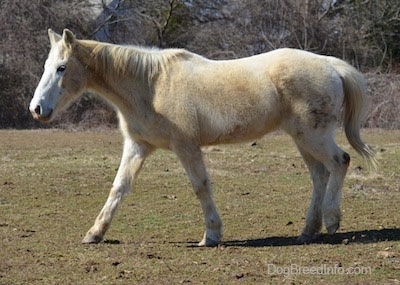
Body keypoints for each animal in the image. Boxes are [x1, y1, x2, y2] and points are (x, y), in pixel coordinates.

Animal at [28, 29, 376, 246]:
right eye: (47, 65)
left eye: (62, 68)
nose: (37, 109)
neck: (150, 85)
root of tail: (330, 64)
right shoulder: (138, 147)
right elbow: (119, 188)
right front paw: (94, 233)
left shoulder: (186, 147)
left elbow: (200, 187)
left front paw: (211, 236)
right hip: (302, 139)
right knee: (319, 174)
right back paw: (308, 231)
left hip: (314, 137)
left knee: (340, 162)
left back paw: (331, 220)